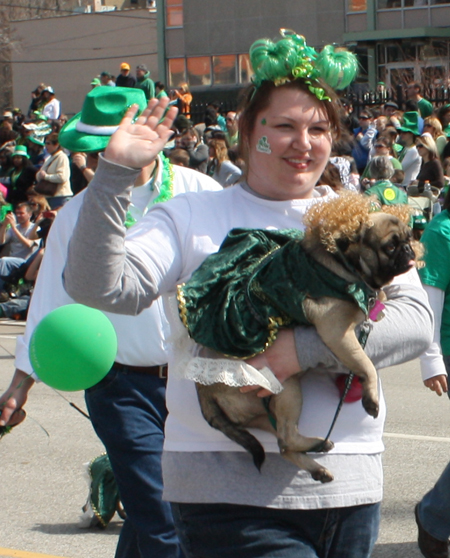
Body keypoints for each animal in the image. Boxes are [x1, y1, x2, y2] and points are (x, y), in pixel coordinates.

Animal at [177, 191, 422, 482]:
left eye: (408, 237)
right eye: (390, 246)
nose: (408, 248)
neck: (346, 264)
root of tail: (203, 388)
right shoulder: (336, 331)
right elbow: (366, 364)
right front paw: (370, 398)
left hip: (267, 408)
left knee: (283, 445)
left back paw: (317, 463)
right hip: (287, 389)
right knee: (286, 437)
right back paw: (316, 446)